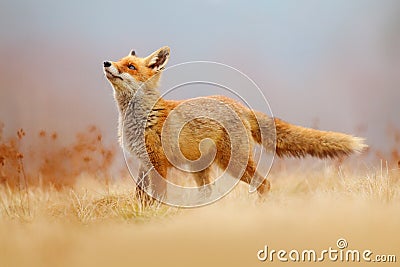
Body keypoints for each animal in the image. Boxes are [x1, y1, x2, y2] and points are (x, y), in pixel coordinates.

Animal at [102, 47, 366, 200]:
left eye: (130, 67)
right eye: (119, 60)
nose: (106, 63)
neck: (140, 118)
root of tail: (239, 105)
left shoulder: (158, 162)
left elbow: (157, 196)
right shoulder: (142, 162)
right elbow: (139, 195)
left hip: (233, 161)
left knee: (264, 185)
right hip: (201, 169)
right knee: (210, 192)